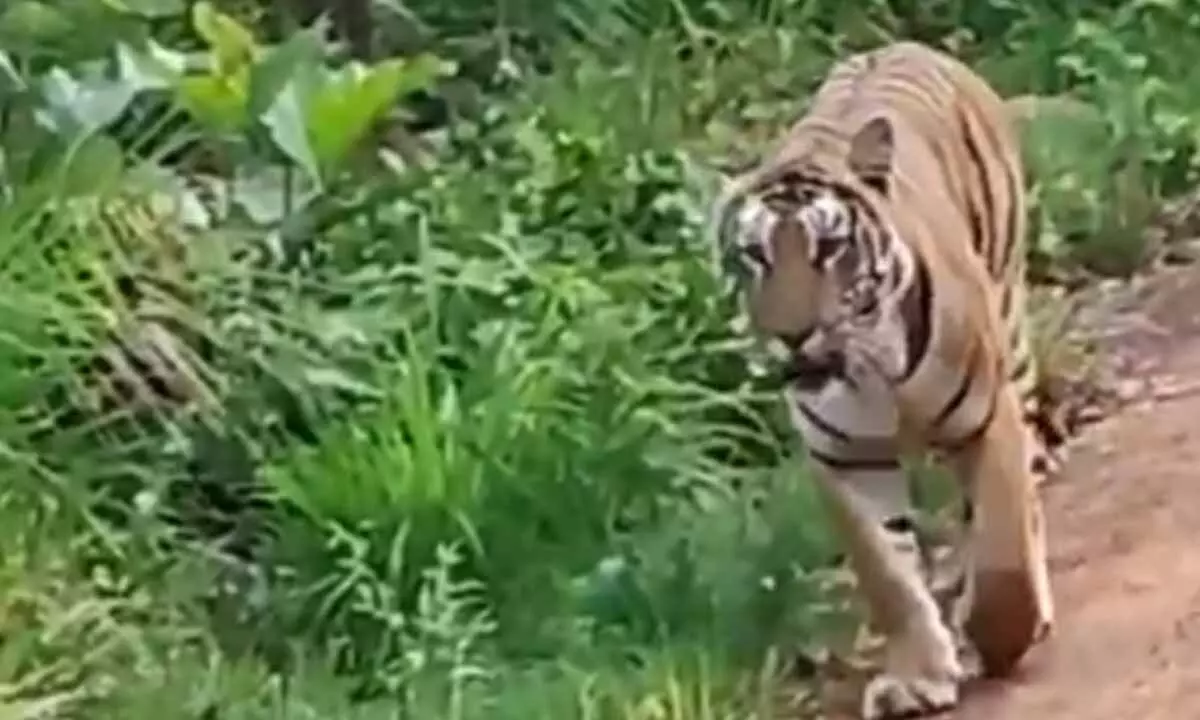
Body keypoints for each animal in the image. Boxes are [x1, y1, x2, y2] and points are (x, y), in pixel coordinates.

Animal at [709, 41, 1058, 718]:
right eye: (756, 254)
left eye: (828, 248)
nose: (792, 334)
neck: (871, 366)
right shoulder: (844, 457)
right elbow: (888, 574)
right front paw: (918, 678)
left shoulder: (987, 418)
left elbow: (1004, 556)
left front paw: (996, 639)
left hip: (1011, 323)